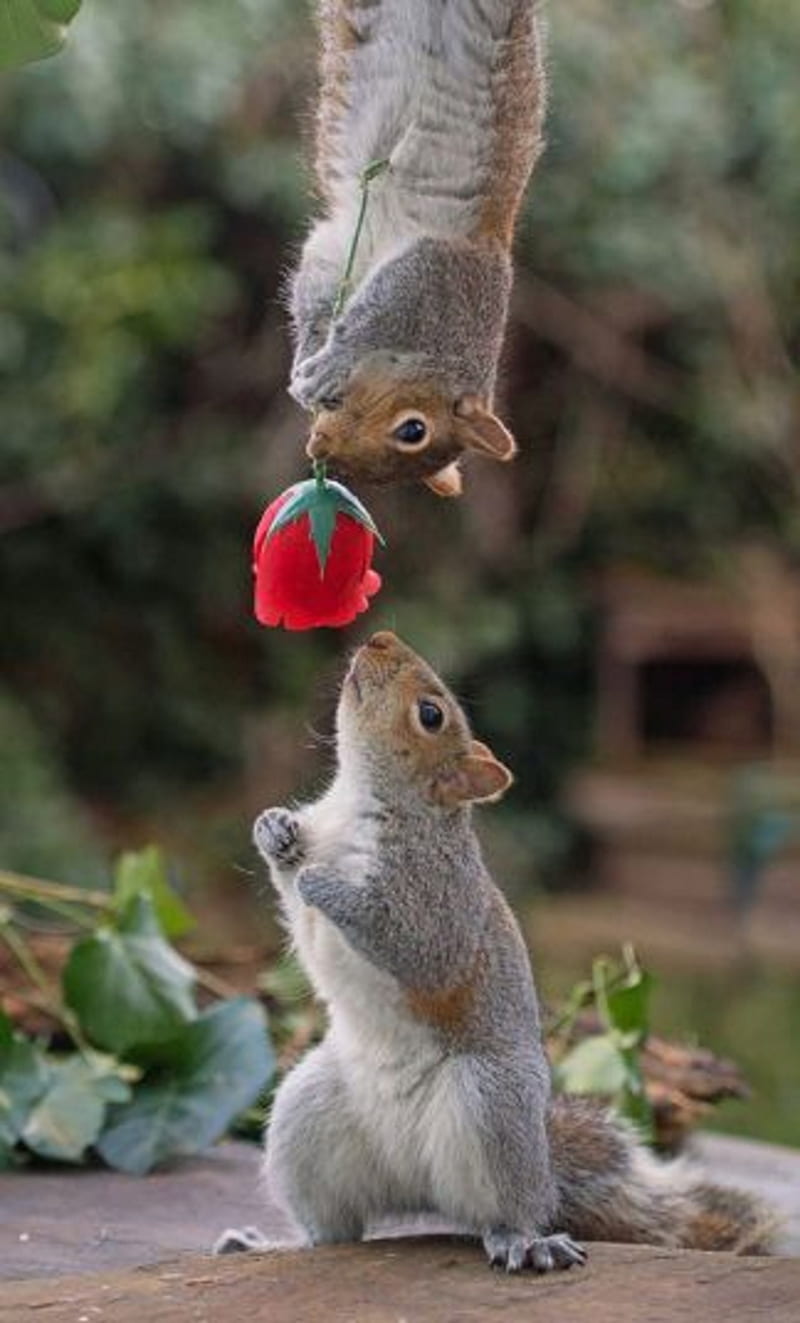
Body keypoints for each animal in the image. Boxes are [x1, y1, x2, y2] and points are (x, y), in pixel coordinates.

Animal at [215, 629, 772, 1270]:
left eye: (431, 715)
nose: (379, 638)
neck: (357, 803)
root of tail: (418, 1187)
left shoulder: (437, 900)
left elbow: (415, 947)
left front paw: (323, 882)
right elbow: (297, 906)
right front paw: (274, 829)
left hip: (490, 1104)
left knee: (502, 1209)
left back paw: (525, 1241)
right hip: (306, 1115)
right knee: (334, 1230)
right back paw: (268, 1242)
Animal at [284, 0, 544, 497]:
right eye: (412, 429)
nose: (318, 447)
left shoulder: (341, 246)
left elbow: (320, 289)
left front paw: (314, 354)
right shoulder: (439, 271)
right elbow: (374, 315)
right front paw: (325, 359)